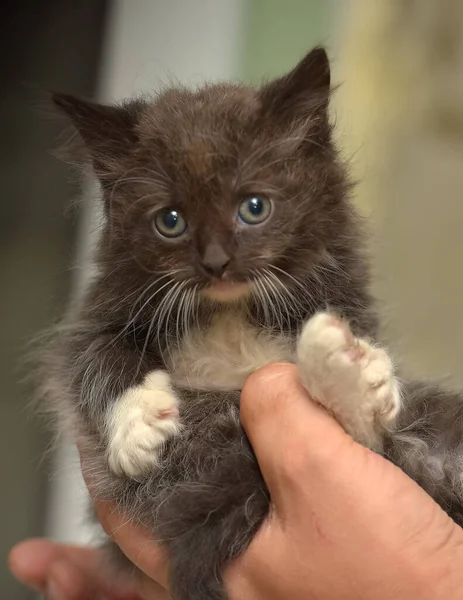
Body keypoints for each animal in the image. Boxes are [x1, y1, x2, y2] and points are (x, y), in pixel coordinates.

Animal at [41, 48, 463, 600]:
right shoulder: (101, 310)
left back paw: (346, 378)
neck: (230, 313)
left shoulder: (345, 291)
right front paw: (137, 423)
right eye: (170, 221)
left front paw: (365, 366)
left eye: (254, 208)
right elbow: (93, 354)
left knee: (376, 437)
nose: (216, 262)